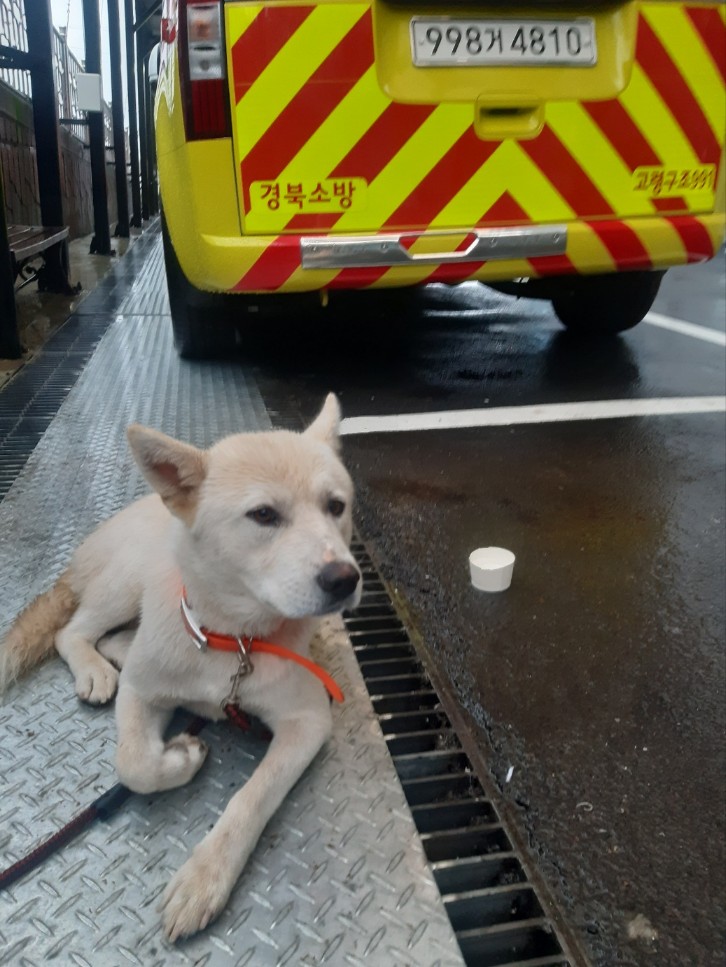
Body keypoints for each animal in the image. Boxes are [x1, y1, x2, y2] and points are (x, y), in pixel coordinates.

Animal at [0, 392, 364, 936]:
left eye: (336, 506)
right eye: (263, 515)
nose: (345, 579)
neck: (232, 641)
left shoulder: (307, 721)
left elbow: (250, 798)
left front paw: (204, 877)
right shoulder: (141, 692)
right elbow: (133, 762)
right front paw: (180, 758)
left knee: (112, 638)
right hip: (128, 578)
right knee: (74, 631)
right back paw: (94, 668)